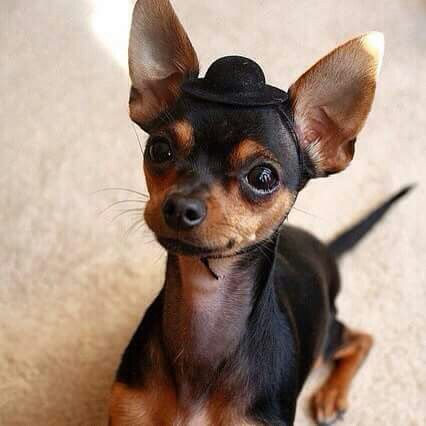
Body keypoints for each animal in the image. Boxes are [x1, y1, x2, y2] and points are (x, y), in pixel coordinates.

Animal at [109, 1, 411, 424]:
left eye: (263, 177)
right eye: (160, 149)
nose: (180, 206)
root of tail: (323, 247)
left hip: (326, 337)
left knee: (360, 338)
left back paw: (332, 393)